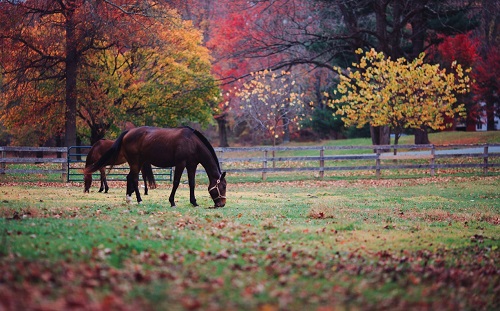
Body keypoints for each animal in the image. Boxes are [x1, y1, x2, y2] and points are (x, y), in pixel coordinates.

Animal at [84, 125, 227, 208]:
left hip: (138, 163)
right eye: (223, 186)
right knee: (134, 179)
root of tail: (128, 132)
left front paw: (194, 202)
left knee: (129, 177)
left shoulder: (192, 165)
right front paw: (172, 201)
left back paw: (129, 198)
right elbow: (176, 182)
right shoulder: (180, 164)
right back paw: (139, 200)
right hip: (135, 162)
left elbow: (192, 183)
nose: (222, 204)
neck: (192, 141)